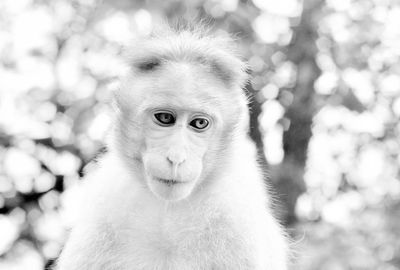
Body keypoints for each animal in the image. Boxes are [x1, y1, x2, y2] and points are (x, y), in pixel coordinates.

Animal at [56, 24, 288, 268]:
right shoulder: (102, 214)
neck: (168, 211)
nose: (176, 158)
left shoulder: (238, 225)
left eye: (199, 123)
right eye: (165, 118)